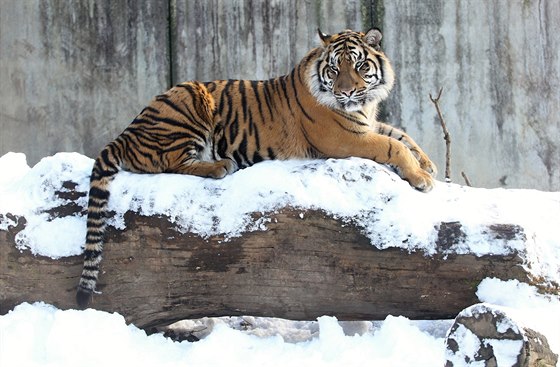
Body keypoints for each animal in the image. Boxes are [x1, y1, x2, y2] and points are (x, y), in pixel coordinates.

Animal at [76, 28, 438, 310]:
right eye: (335, 70)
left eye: (360, 66)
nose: (346, 92)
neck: (364, 106)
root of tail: (127, 131)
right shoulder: (344, 137)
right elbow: (392, 145)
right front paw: (422, 178)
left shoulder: (367, 124)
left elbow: (401, 135)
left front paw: (428, 164)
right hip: (189, 97)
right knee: (170, 163)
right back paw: (220, 166)